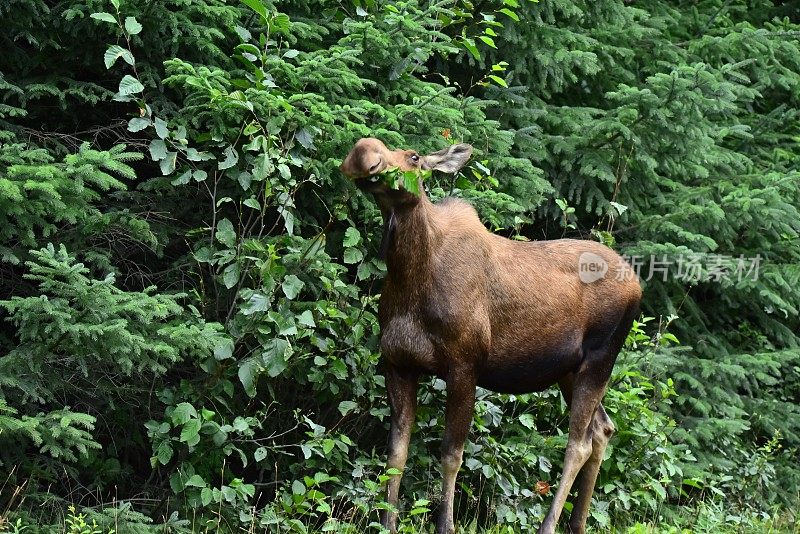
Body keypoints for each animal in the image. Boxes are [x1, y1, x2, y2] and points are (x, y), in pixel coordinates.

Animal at [340, 139, 640, 534]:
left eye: (414, 157)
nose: (364, 156)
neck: (410, 282)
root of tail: (637, 284)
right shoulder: (397, 363)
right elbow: (396, 454)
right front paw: (387, 523)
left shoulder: (464, 365)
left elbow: (451, 454)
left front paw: (446, 525)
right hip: (569, 370)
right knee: (603, 429)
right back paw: (577, 523)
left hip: (599, 359)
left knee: (578, 443)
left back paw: (549, 525)